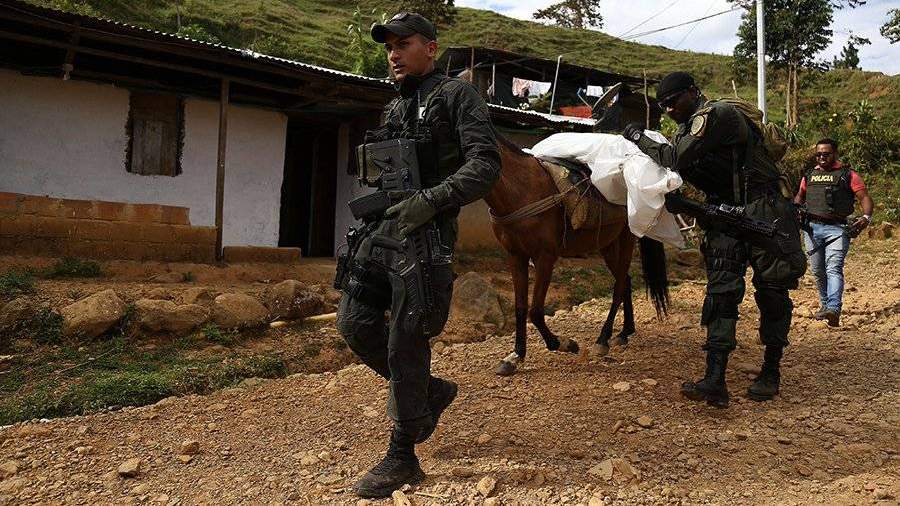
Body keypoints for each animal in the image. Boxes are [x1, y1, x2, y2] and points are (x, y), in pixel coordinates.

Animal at [486, 134, 668, 376]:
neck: (521, 190)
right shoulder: (515, 256)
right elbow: (520, 307)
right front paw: (516, 355)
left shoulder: (545, 257)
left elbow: (535, 311)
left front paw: (563, 344)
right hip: (607, 243)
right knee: (626, 281)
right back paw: (624, 332)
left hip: (626, 238)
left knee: (619, 285)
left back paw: (603, 339)